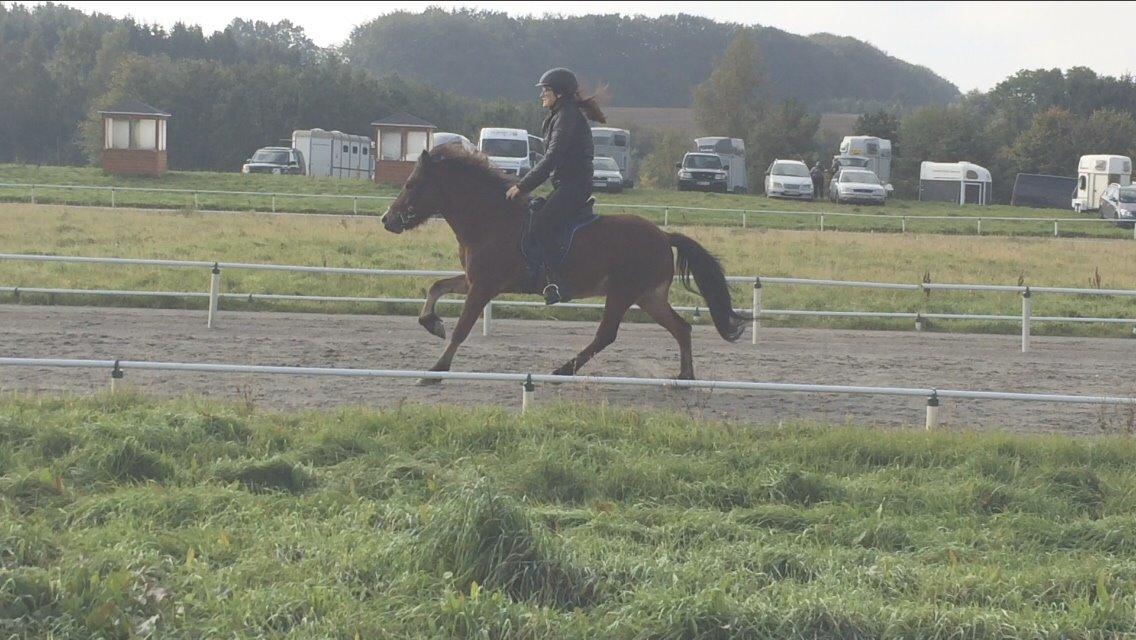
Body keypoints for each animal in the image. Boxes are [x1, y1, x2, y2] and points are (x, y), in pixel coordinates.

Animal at [381, 147, 749, 379]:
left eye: (411, 184)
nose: (388, 220)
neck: (491, 218)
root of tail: (662, 235)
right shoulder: (476, 280)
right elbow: (437, 287)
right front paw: (431, 323)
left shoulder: (484, 286)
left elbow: (462, 328)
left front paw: (436, 370)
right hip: (648, 296)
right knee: (681, 328)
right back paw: (685, 376)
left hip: (623, 293)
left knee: (606, 334)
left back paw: (563, 370)